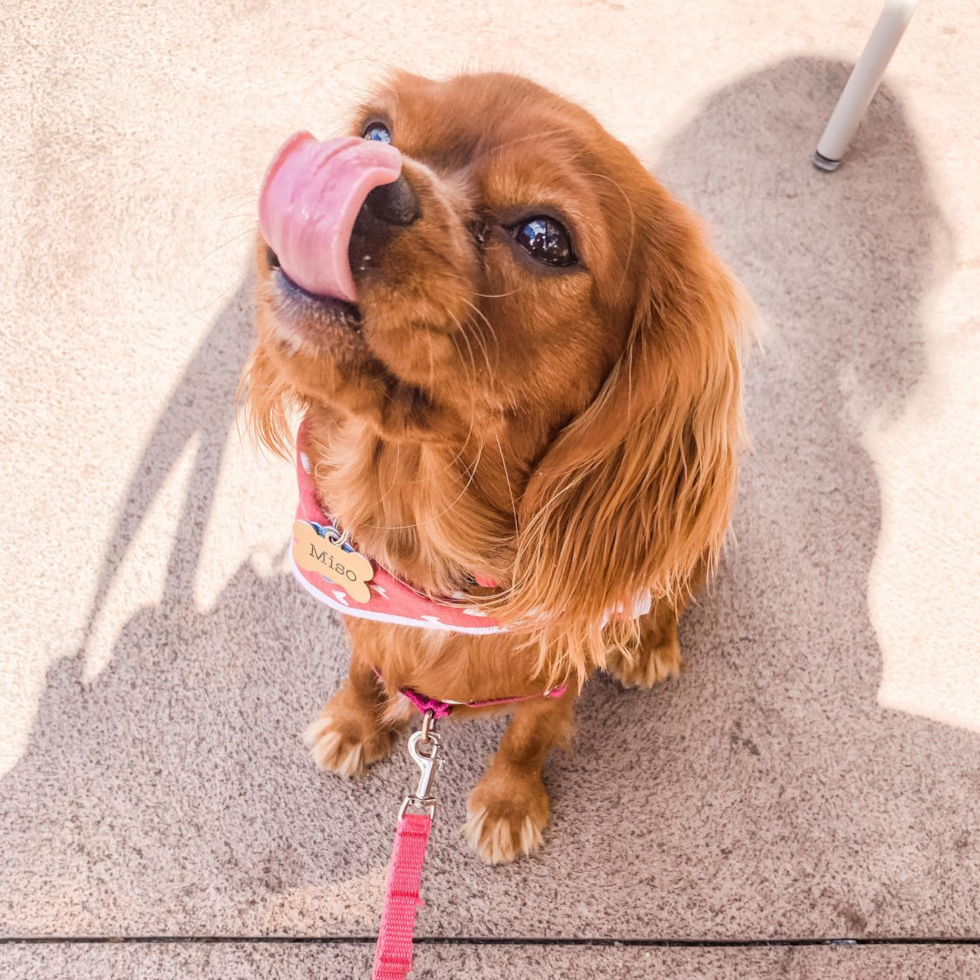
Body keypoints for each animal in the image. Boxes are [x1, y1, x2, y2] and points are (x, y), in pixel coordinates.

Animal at [245, 72, 752, 860]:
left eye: (545, 237)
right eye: (377, 133)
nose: (367, 174)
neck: (419, 536)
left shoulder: (557, 677)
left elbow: (526, 737)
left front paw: (509, 802)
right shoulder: (365, 618)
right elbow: (364, 668)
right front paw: (355, 722)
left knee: (670, 596)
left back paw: (648, 645)